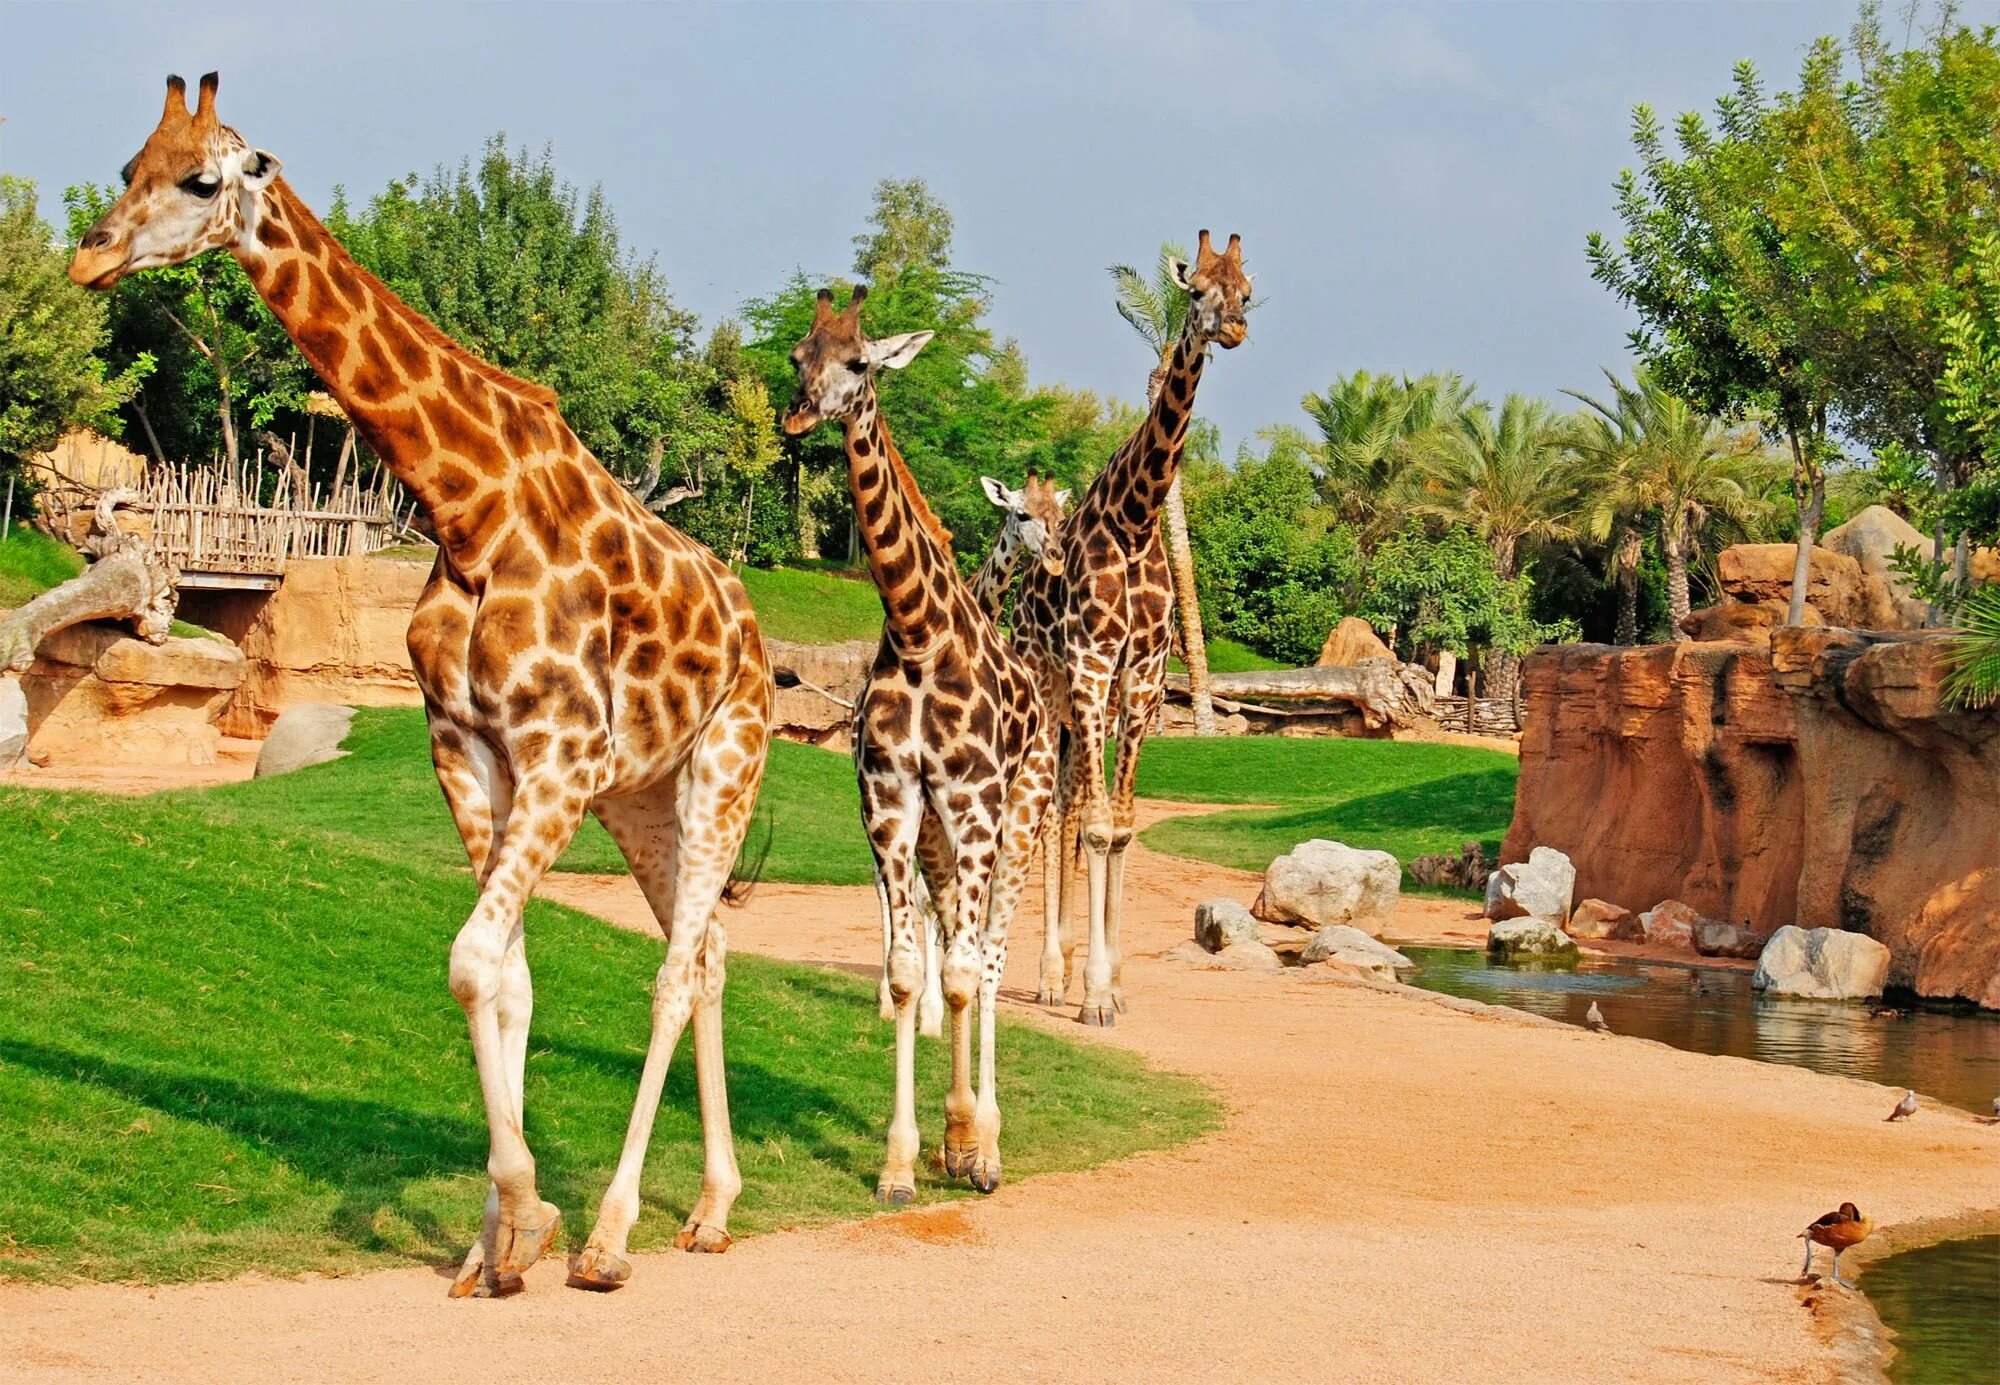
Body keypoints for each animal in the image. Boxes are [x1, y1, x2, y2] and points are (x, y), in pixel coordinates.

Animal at [70, 75, 772, 1296]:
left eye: (200, 180)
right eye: (125, 168)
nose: (87, 257)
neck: (468, 504)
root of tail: (756, 631)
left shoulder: (558, 754)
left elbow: (473, 958)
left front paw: (540, 1217)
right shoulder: (468, 750)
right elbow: (505, 975)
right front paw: (500, 1240)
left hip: (723, 767)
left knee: (675, 970)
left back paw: (614, 1235)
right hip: (644, 795)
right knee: (713, 954)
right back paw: (711, 1208)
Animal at [780, 284, 1064, 1200]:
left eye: (859, 361)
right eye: (798, 355)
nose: (800, 414)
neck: (915, 629)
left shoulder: (974, 807)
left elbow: (969, 969)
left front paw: (973, 1145)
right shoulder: (893, 804)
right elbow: (914, 970)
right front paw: (904, 1161)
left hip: (1018, 819)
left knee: (993, 958)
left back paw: (990, 1143)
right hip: (941, 841)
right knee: (952, 947)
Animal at [1016, 230, 1248, 1024]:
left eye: (1246, 288)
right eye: (1196, 290)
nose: (1234, 328)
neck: (1139, 518)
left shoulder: (1141, 679)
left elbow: (1118, 826)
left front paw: (1113, 983)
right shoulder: (1090, 664)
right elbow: (1090, 823)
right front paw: (1090, 994)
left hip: (1088, 702)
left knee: (1065, 803)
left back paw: (1057, 971)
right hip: (1049, 688)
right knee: (1048, 808)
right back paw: (1045, 974)